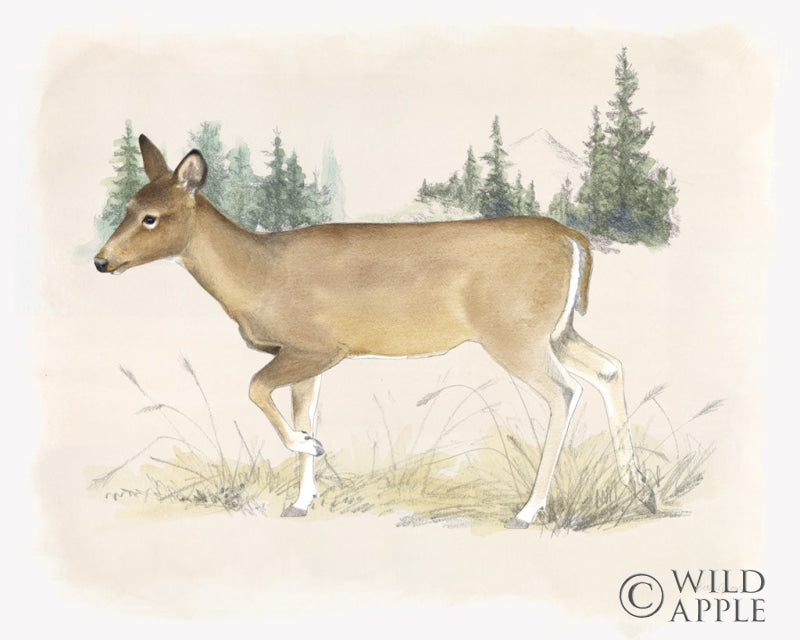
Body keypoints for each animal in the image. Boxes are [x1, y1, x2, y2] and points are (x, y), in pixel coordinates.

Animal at [94, 134, 655, 528]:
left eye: (150, 217)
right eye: (126, 208)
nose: (101, 261)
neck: (257, 273)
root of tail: (573, 238)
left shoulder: (318, 344)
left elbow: (255, 388)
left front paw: (309, 447)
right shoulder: (307, 357)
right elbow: (303, 410)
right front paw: (302, 498)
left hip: (514, 333)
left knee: (565, 391)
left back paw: (528, 510)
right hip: (556, 330)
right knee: (609, 368)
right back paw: (639, 491)